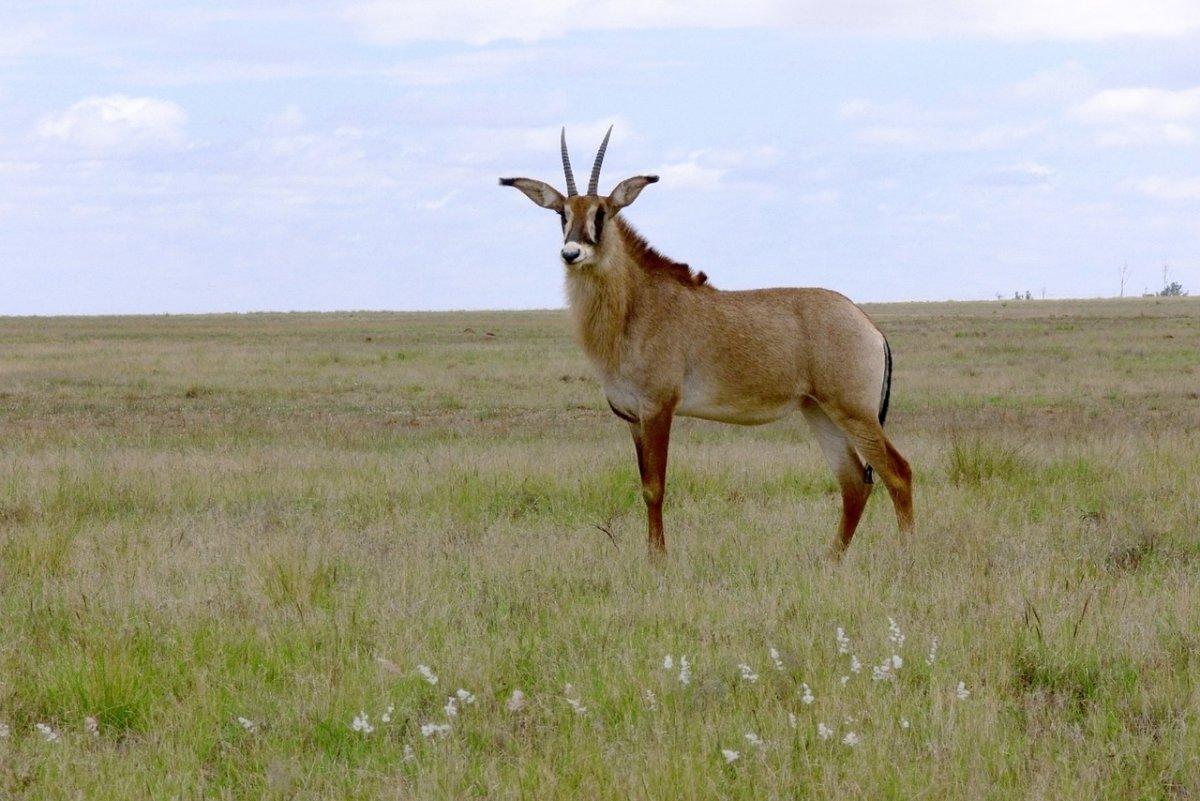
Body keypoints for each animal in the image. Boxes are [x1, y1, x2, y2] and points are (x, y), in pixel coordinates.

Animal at [501, 128, 912, 561]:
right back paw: (829, 561)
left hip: (855, 412)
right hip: (819, 411)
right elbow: (644, 486)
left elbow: (655, 489)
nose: (571, 252)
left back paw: (906, 557)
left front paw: (658, 562)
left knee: (898, 473)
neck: (636, 305)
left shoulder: (659, 410)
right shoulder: (633, 419)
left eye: (602, 212)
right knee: (854, 483)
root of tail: (869, 326)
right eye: (562, 213)